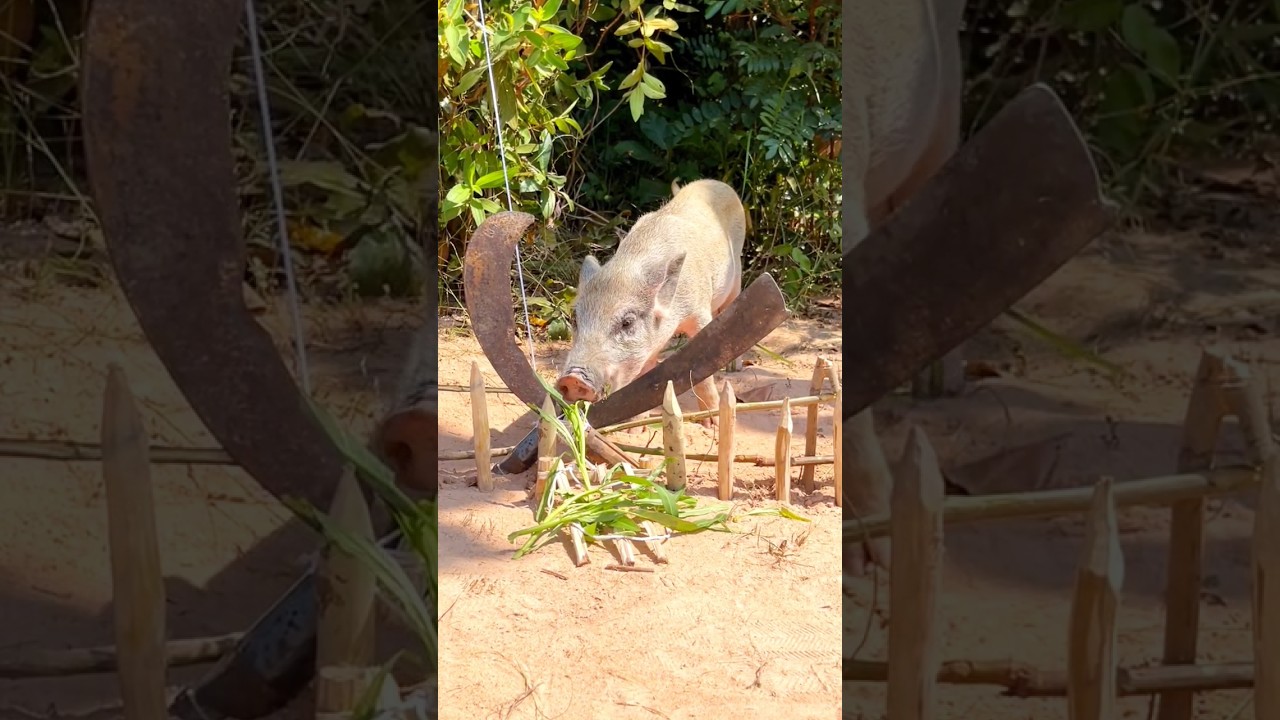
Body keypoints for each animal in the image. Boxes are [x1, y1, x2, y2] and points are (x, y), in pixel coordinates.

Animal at [555, 178, 747, 426]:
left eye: (627, 322)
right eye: (575, 319)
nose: (572, 378)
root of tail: (716, 183)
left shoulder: (699, 313)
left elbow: (703, 374)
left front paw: (709, 424)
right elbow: (643, 377)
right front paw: (633, 428)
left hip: (736, 274)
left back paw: (733, 369)